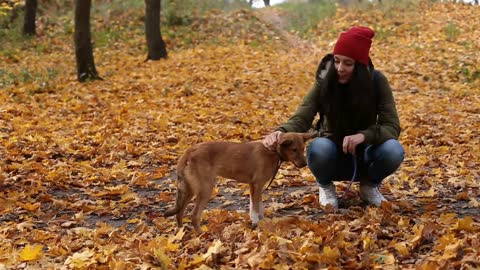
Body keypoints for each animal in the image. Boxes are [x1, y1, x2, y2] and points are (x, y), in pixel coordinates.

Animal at [164, 132, 316, 232]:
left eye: (303, 149)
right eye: (294, 150)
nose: (304, 164)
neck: (272, 151)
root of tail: (189, 151)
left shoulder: (254, 186)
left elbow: (258, 206)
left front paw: (261, 221)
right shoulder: (257, 185)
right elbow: (256, 208)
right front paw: (257, 223)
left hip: (189, 190)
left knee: (179, 213)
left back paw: (181, 233)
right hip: (205, 189)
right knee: (194, 215)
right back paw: (201, 235)